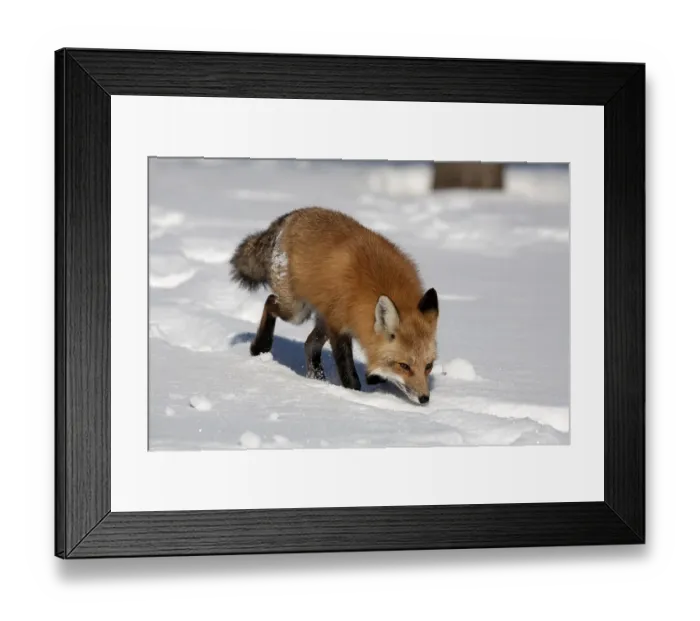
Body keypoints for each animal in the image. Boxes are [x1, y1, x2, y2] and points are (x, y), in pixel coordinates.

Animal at [230, 207, 439, 404]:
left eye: (428, 366)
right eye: (404, 366)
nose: (424, 398)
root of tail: (293, 215)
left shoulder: (336, 321)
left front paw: (374, 377)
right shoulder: (338, 327)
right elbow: (348, 373)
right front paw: (355, 394)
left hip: (321, 317)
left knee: (309, 344)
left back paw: (317, 379)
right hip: (297, 311)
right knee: (270, 301)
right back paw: (260, 347)